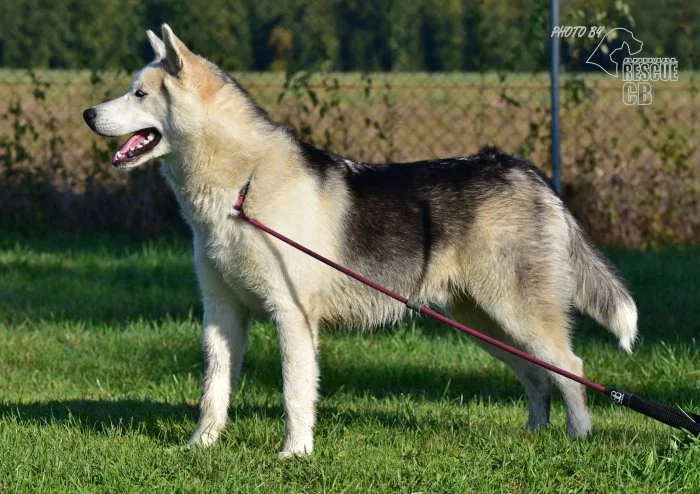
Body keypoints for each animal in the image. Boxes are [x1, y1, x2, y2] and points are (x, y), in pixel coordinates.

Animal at [80, 23, 636, 456]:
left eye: (139, 94)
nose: (87, 114)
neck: (242, 185)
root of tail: (524, 170)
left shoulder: (292, 317)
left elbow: (295, 393)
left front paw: (295, 453)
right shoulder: (222, 316)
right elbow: (213, 392)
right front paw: (201, 447)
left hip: (517, 315)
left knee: (570, 368)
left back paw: (578, 439)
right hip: (485, 323)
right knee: (539, 377)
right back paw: (533, 438)